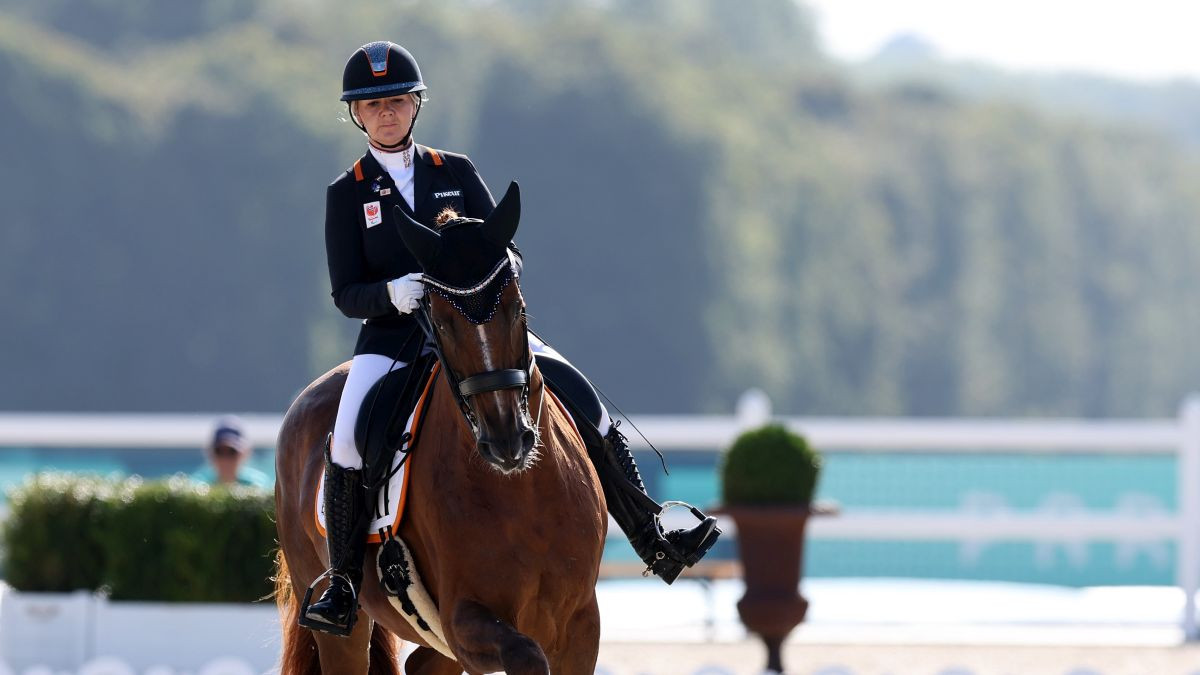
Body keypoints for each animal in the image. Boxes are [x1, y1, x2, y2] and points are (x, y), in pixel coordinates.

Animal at [274, 181, 609, 667]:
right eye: (443, 322)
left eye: (517, 310)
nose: (506, 441)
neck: (522, 492)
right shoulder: (464, 620)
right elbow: (526, 655)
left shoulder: (582, 623)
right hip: (340, 631)